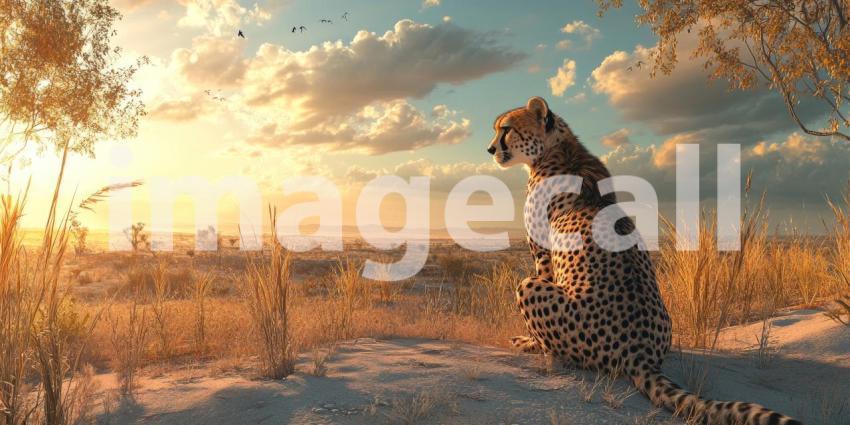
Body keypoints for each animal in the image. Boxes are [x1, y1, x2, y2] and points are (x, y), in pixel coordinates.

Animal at [486, 96, 802, 425]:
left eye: (505, 129)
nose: (491, 149)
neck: (558, 148)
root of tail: (640, 351)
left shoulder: (543, 255)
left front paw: (529, 342)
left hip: (529, 287)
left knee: (559, 349)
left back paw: (536, 349)